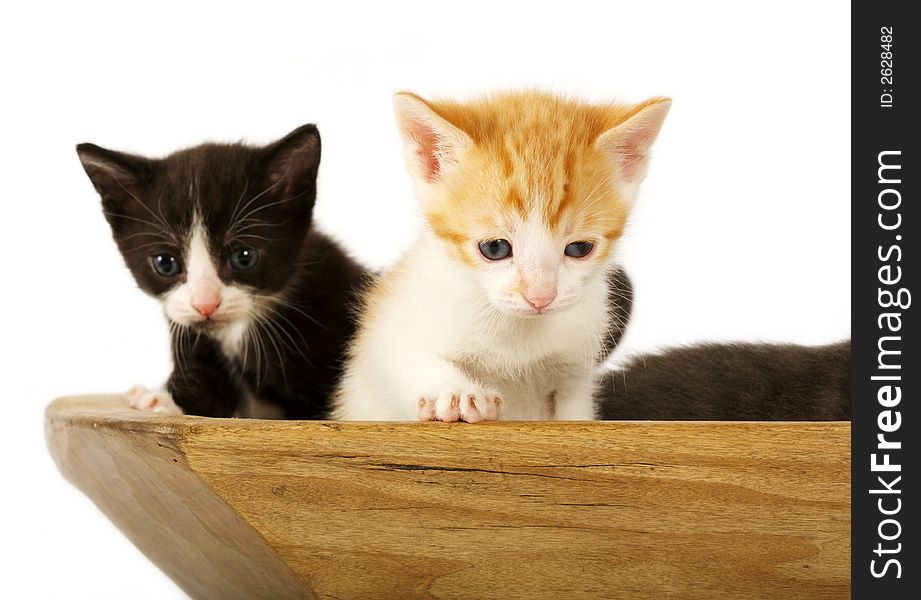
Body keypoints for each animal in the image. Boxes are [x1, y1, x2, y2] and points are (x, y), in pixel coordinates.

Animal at [78, 124, 366, 418]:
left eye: (243, 258)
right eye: (165, 263)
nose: (205, 304)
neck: (236, 334)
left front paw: (158, 401)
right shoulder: (188, 330)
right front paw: (164, 398)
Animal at [334, 90, 664, 422]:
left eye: (579, 248)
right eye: (495, 248)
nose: (540, 297)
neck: (517, 332)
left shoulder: (574, 375)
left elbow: (575, 414)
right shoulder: (388, 328)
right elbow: (401, 355)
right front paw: (457, 392)